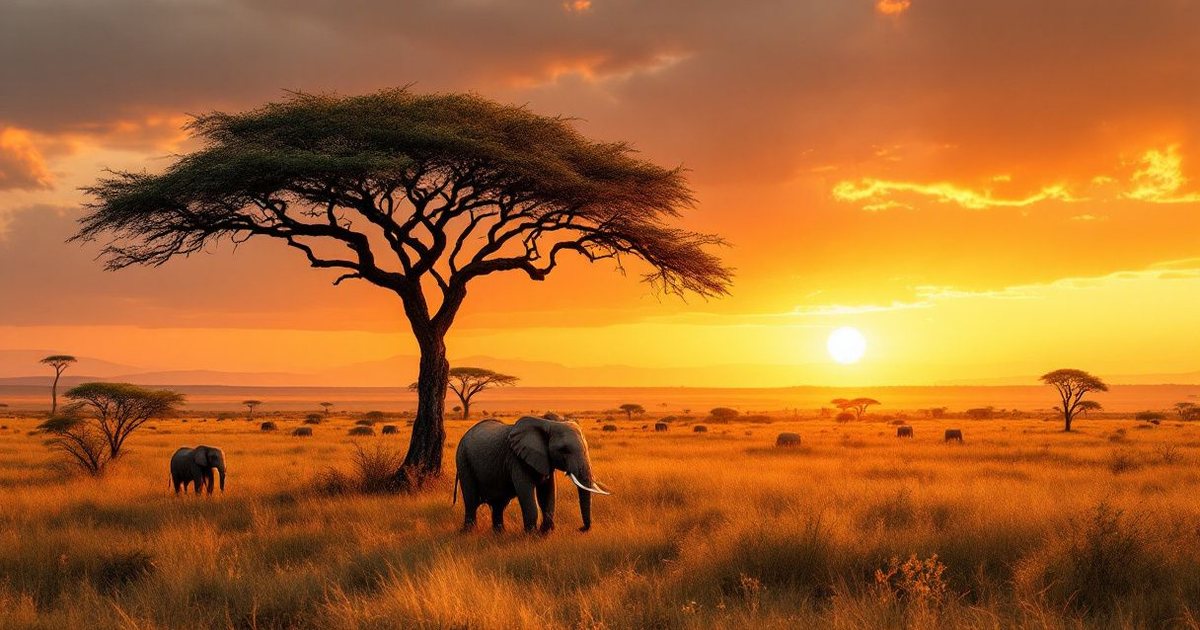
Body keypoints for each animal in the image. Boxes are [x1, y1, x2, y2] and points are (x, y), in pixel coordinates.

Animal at [454, 416, 610, 534]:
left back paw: (499, 533)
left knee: (499, 504)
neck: (548, 424)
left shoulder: (546, 460)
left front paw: (545, 533)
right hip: (463, 461)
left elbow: (548, 493)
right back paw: (469, 532)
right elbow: (526, 492)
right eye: (564, 450)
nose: (581, 528)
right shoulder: (516, 458)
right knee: (471, 500)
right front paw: (531, 534)